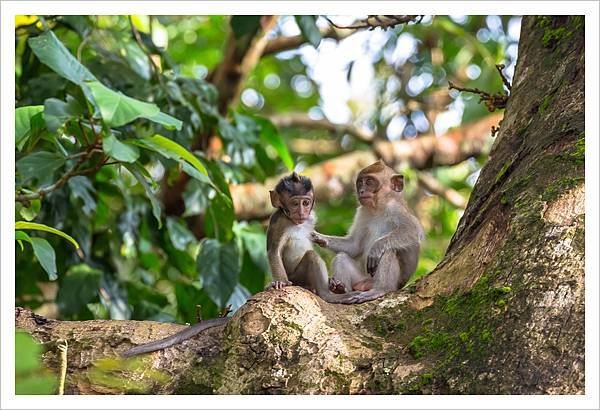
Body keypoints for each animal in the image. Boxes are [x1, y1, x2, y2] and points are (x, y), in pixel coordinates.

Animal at [264, 171, 340, 302]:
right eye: (295, 204)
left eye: (305, 203)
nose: (301, 212)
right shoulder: (279, 221)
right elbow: (274, 251)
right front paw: (281, 282)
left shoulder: (311, 218)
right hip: (296, 278)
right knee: (311, 256)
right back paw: (328, 295)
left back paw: (332, 285)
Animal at [312, 160, 424, 304]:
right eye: (360, 182)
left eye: (370, 182)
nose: (361, 191)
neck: (379, 208)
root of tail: (367, 284)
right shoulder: (362, 212)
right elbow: (354, 246)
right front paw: (318, 237)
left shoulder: (396, 208)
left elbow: (413, 231)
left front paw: (376, 247)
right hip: (361, 278)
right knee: (341, 258)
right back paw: (340, 290)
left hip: (391, 283)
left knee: (388, 252)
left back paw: (379, 290)